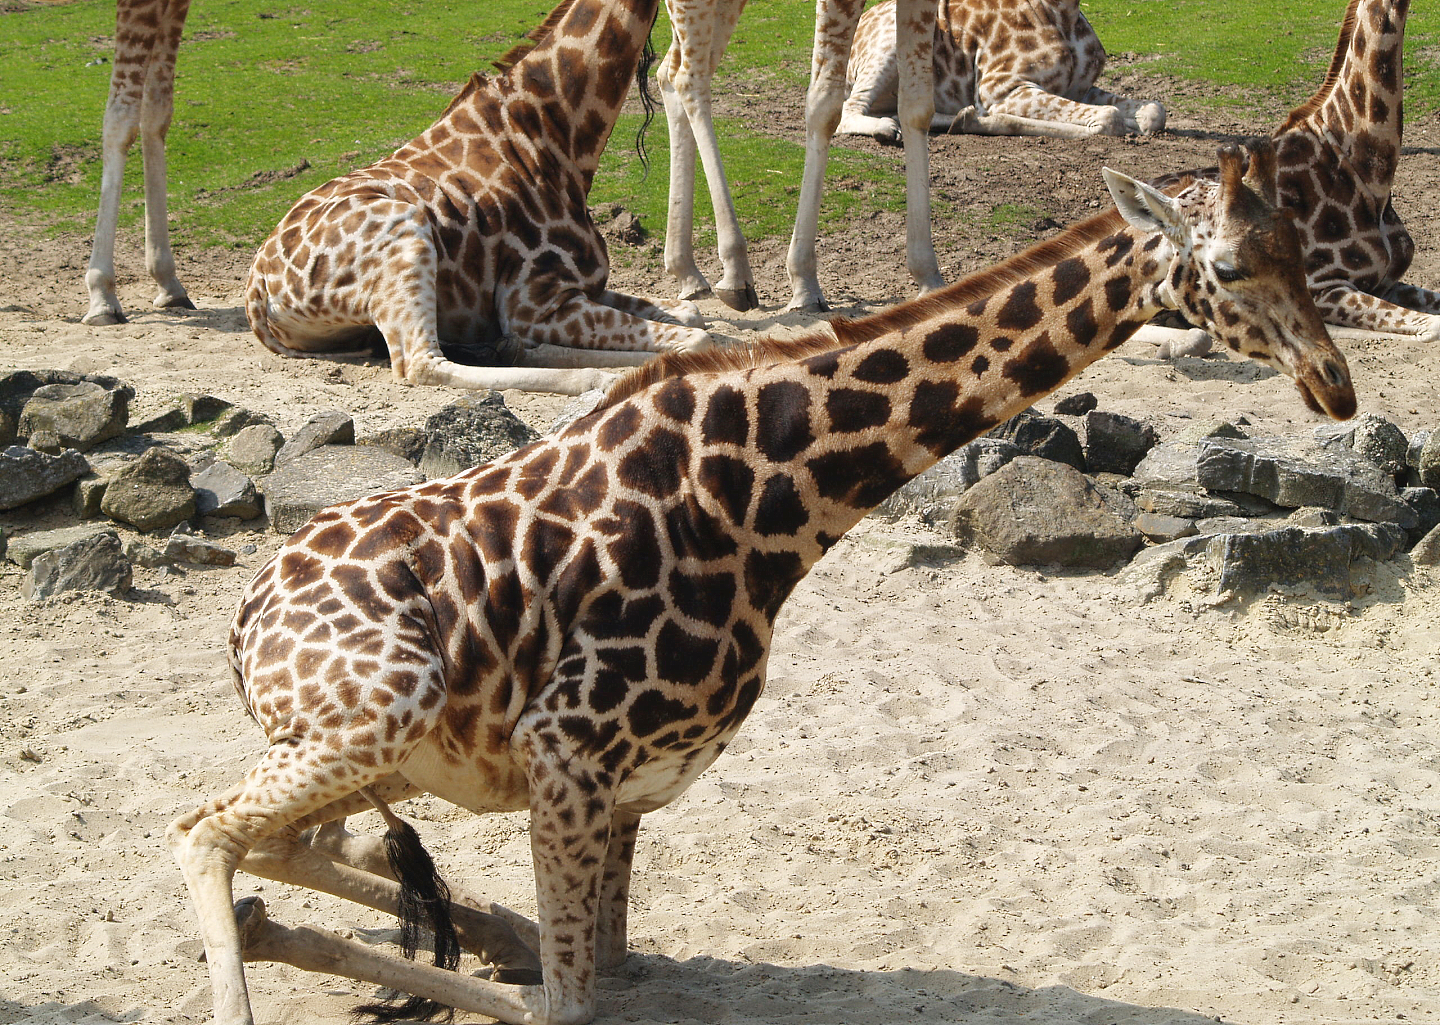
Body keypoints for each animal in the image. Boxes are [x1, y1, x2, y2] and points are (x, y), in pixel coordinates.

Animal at [168, 140, 1356, 1025]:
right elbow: (570, 1002)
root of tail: (242, 621)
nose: (1335, 385)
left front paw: (481, 934)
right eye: (1233, 268)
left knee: (290, 843)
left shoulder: (617, 787)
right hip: (381, 707)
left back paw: (414, 917)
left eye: (1302, 250)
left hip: (380, 741)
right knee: (206, 832)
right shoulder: (567, 753)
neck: (773, 499)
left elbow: (610, 968)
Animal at [244, 0, 713, 397]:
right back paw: (586, 375)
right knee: (420, 363)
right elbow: (696, 338)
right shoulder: (534, 301)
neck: (556, 134)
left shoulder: (584, 288)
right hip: (404, 231)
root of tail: (258, 291)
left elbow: (690, 315)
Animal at [657, 0, 943, 313]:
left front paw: (929, 277)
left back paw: (687, 271)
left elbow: (918, 107)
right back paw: (735, 273)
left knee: (669, 71)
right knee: (689, 79)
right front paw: (804, 284)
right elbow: (824, 105)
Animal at [839, 0, 1167, 140]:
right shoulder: (1001, 89)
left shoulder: (1080, 88)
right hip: (889, 43)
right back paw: (886, 128)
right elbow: (1110, 118)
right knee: (847, 112)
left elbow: (1155, 111)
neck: (1063, 14)